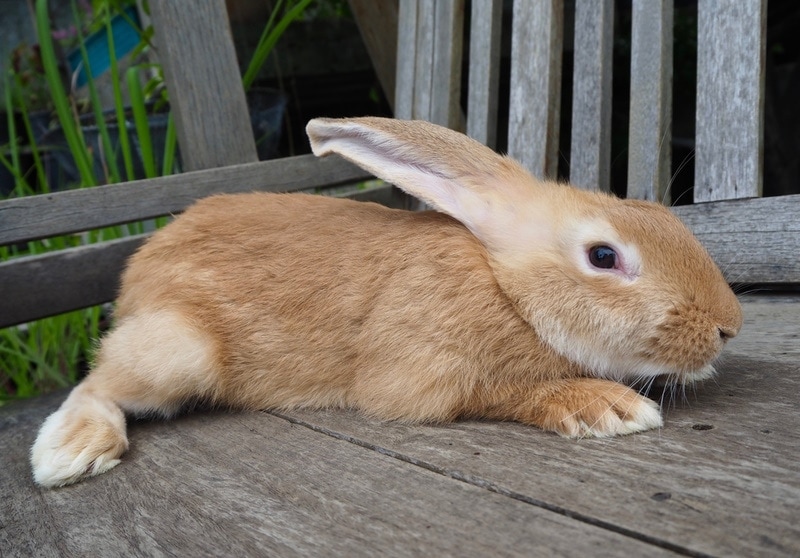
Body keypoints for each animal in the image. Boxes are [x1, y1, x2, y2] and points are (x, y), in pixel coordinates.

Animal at [31, 116, 744, 488]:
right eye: (603, 257)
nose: (728, 327)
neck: (506, 289)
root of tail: (134, 281)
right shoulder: (426, 374)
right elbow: (504, 391)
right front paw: (606, 406)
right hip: (178, 349)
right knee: (98, 382)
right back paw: (69, 454)